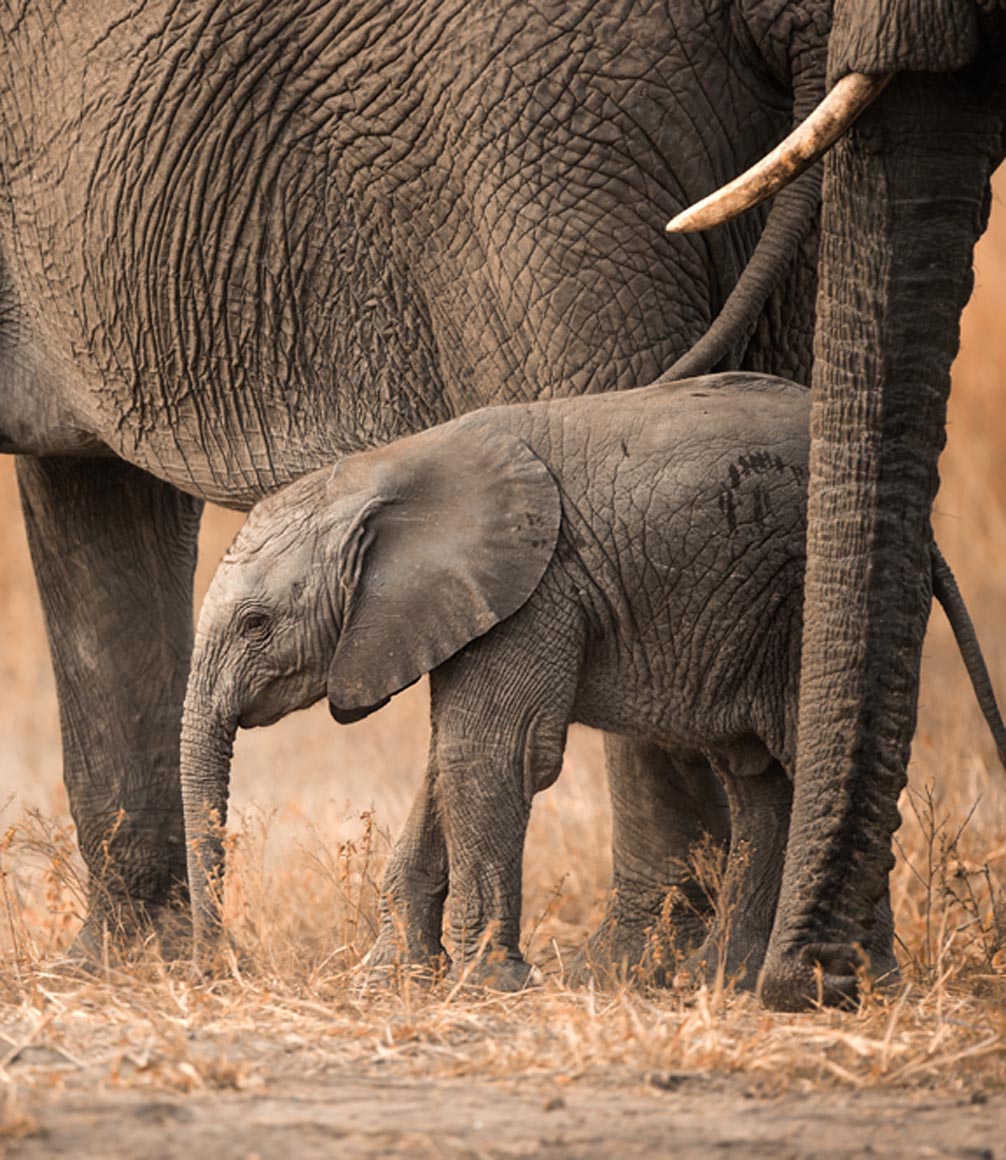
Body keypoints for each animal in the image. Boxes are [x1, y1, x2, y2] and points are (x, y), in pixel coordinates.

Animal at [1, 0, 835, 960]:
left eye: (258, 624)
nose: (225, 960)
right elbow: (94, 513)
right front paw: (135, 962)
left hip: (544, 135)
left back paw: (635, 960)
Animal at [181, 371, 1006, 988]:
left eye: (256, 623)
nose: (221, 967)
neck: (384, 471)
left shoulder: (539, 585)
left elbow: (492, 753)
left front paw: (488, 985)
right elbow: (448, 757)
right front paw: (391, 979)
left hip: (806, 595)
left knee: (812, 763)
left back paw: (851, 982)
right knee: (762, 784)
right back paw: (719, 982)